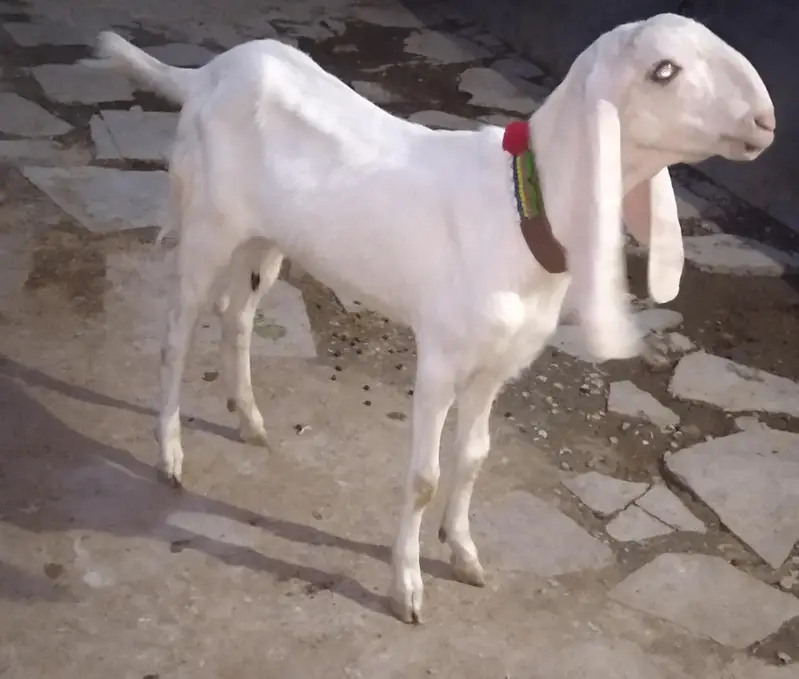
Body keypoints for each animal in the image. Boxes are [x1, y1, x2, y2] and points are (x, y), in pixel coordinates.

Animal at [87, 13, 775, 623]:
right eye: (665, 70)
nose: (765, 122)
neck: (517, 207)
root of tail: (205, 74)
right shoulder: (441, 353)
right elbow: (423, 475)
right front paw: (408, 588)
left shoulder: (501, 361)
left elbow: (474, 457)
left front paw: (464, 553)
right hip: (208, 221)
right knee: (177, 331)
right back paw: (170, 456)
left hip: (264, 237)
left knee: (238, 314)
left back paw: (249, 419)